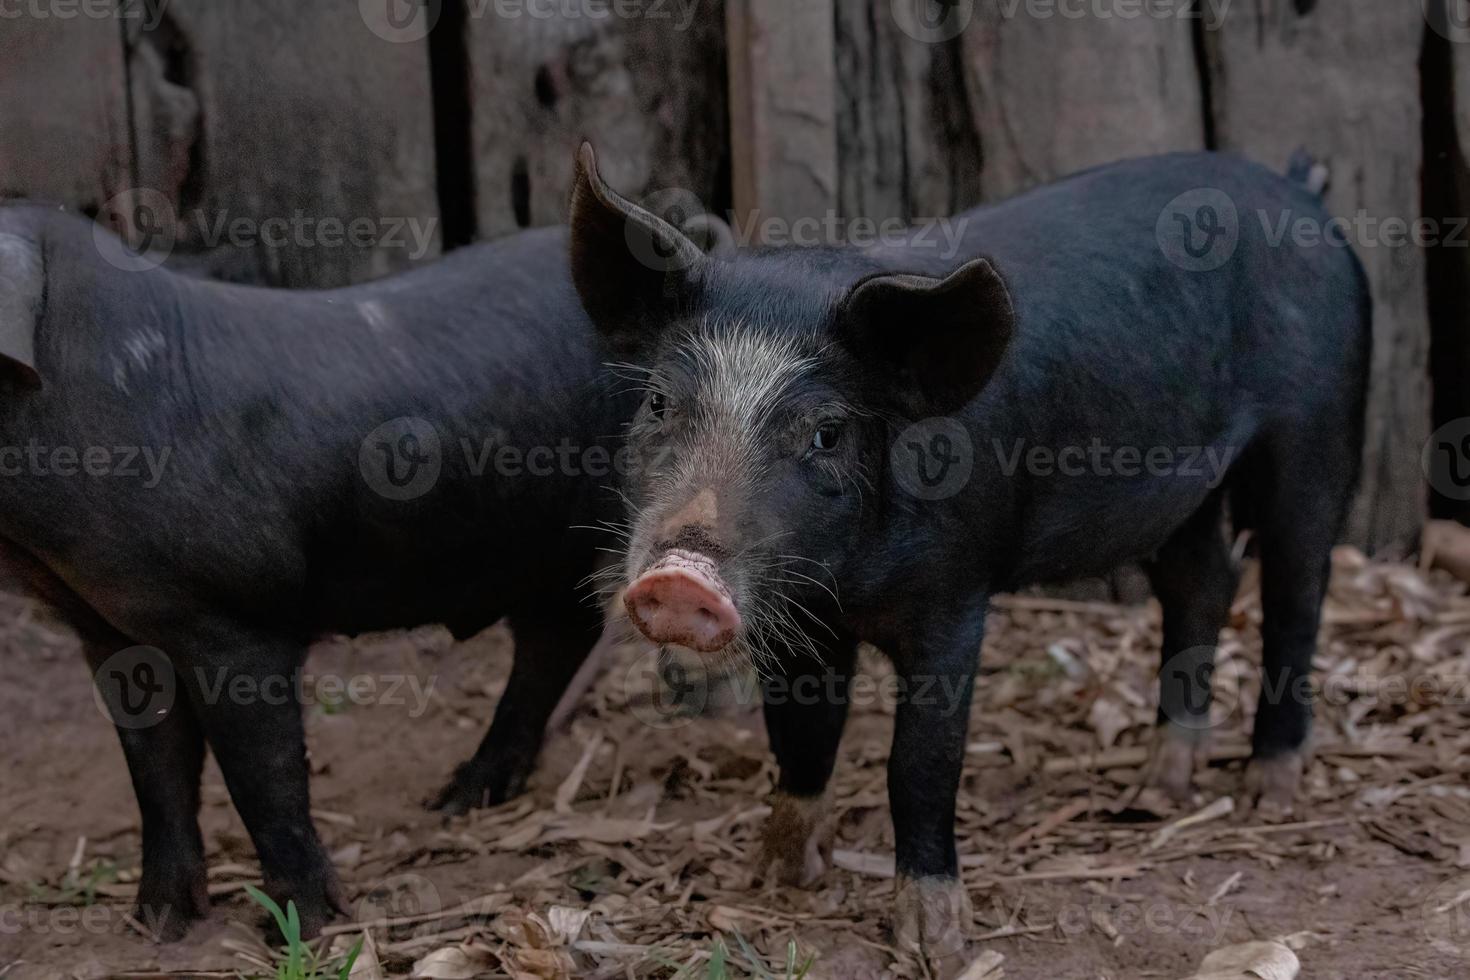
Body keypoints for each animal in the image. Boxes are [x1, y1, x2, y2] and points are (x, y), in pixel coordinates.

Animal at [567, 145, 1370, 957]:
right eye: (659, 403)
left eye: (826, 433)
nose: (680, 576)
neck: (848, 582)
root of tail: (1296, 191)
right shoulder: (802, 618)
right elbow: (802, 735)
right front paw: (773, 877)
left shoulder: (955, 596)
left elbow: (920, 761)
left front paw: (937, 945)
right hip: (1185, 491)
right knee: (1204, 582)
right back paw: (1160, 785)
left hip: (1319, 427)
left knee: (1297, 591)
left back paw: (1269, 792)